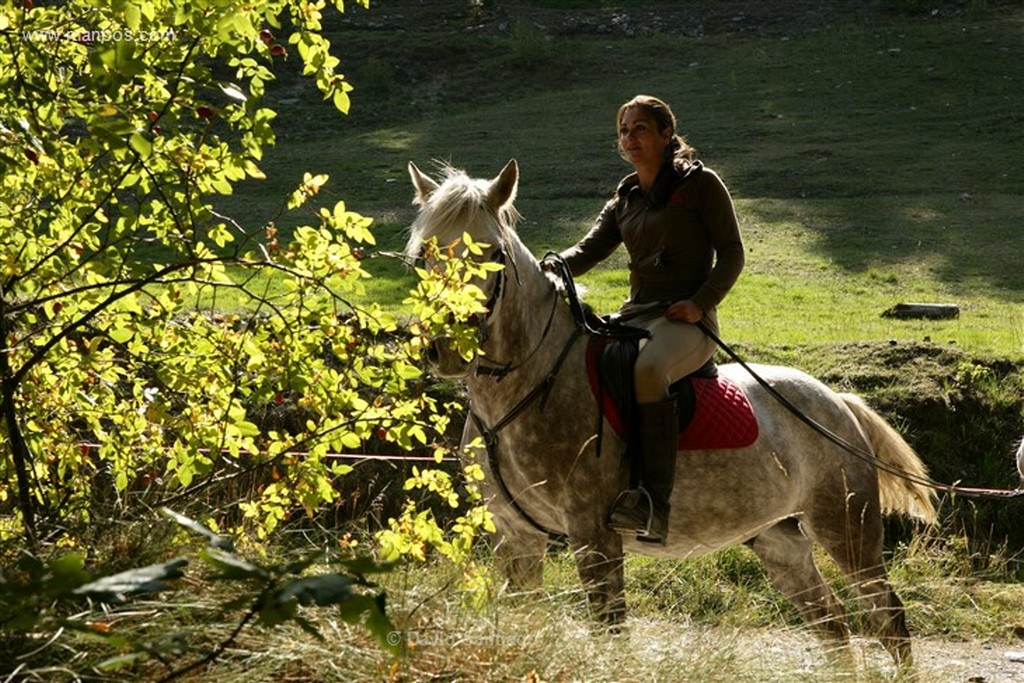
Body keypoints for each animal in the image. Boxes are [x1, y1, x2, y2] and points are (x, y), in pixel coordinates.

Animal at [405, 158, 937, 667]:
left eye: (492, 252)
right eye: (424, 255)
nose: (446, 348)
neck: (531, 381)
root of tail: (837, 402)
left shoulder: (593, 533)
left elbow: (611, 635)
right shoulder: (513, 535)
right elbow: (524, 620)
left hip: (847, 530)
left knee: (889, 620)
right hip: (780, 543)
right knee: (832, 628)